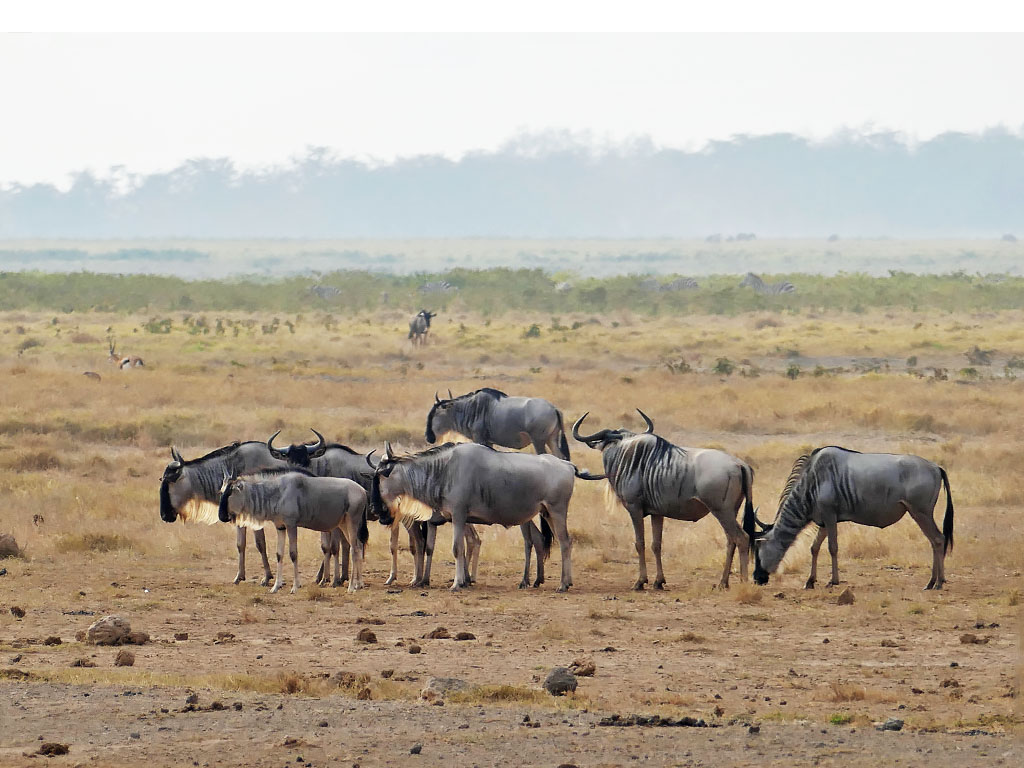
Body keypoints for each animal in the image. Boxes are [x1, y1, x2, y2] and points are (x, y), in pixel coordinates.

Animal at [218, 468, 370, 593]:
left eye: (231, 492)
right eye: (221, 491)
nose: (222, 516)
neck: (277, 492)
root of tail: (363, 491)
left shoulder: (291, 525)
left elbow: (293, 553)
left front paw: (295, 586)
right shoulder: (280, 527)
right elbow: (279, 554)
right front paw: (275, 587)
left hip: (352, 522)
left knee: (354, 549)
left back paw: (351, 587)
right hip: (344, 525)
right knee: (358, 546)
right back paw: (359, 584)